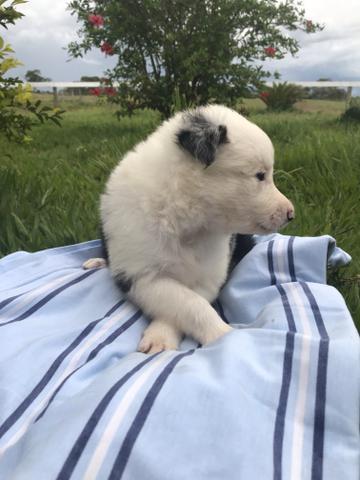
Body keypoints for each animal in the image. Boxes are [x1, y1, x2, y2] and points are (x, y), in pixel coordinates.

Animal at [83, 105, 292, 352]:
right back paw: (96, 261)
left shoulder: (210, 275)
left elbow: (192, 301)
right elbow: (187, 301)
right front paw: (222, 334)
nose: (291, 214)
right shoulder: (140, 273)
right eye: (260, 176)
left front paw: (162, 336)